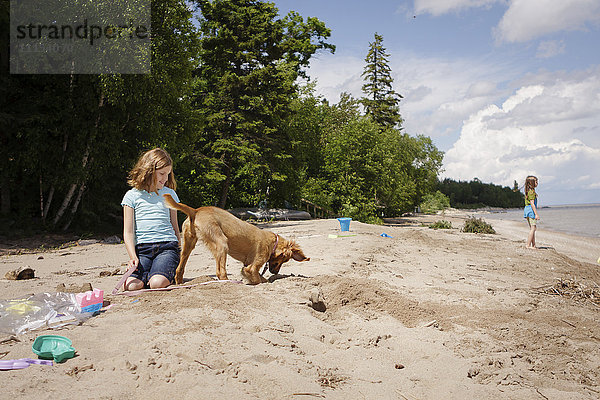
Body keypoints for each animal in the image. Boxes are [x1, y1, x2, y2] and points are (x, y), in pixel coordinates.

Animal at [163, 194, 310, 284]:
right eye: (283, 260)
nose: (274, 272)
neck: (273, 242)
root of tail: (195, 210)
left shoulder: (246, 266)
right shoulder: (252, 267)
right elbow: (258, 279)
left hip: (188, 245)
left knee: (179, 269)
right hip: (222, 243)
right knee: (220, 272)